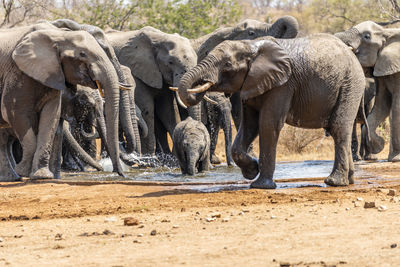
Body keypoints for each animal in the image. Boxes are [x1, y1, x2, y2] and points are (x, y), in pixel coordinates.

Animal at [0, 21, 123, 180]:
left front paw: (43, 176)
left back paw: (11, 178)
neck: (59, 35)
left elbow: (51, 116)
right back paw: (13, 177)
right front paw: (24, 171)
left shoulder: (52, 74)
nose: (119, 173)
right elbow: (14, 113)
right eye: (82, 54)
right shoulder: (17, 71)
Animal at [106, 26, 198, 157]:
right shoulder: (137, 71)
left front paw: (172, 158)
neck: (160, 38)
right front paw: (149, 156)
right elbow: (147, 109)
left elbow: (166, 110)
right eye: (170, 62)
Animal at [177, 34, 366, 189]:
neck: (250, 45)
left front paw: (261, 185)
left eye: (227, 64)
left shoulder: (283, 84)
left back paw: (334, 182)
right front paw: (252, 170)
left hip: (350, 84)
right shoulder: (252, 83)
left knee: (338, 128)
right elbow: (249, 125)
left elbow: (268, 124)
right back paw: (349, 180)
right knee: (338, 130)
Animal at [334, 21, 400, 162]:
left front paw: (395, 159)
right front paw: (378, 145)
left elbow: (397, 107)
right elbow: (382, 104)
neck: (387, 32)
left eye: (366, 36)